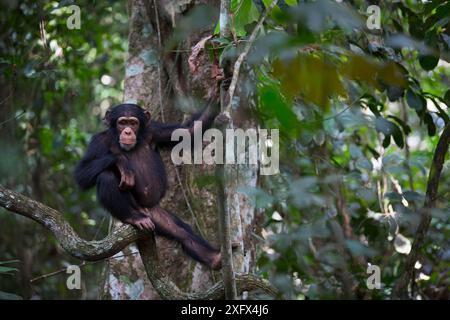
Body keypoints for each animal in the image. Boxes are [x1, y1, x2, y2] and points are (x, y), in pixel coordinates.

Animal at [75, 92, 223, 270]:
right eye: (122, 122)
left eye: (133, 123)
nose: (127, 132)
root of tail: (145, 212)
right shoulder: (98, 141)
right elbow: (81, 173)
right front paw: (121, 162)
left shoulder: (154, 130)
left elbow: (189, 131)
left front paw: (218, 91)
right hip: (134, 207)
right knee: (106, 177)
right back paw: (133, 217)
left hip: (156, 215)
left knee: (181, 232)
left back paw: (215, 258)